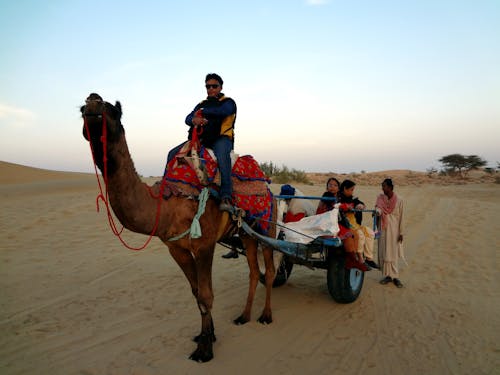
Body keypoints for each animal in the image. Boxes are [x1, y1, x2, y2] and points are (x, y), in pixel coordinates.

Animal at [81, 92, 278, 362]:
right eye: (82, 109)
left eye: (110, 110)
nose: (92, 100)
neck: (167, 204)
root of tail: (269, 189)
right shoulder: (177, 248)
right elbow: (196, 293)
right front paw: (207, 335)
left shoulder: (204, 244)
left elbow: (206, 295)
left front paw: (204, 350)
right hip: (246, 234)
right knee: (253, 270)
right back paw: (243, 316)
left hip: (266, 226)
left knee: (269, 269)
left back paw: (266, 316)